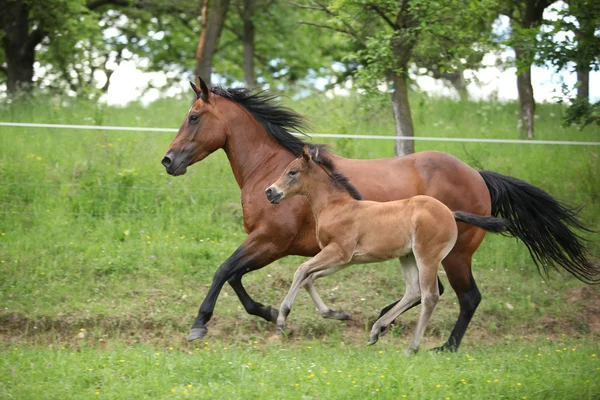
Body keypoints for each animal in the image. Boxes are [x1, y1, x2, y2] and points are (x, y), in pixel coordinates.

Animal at [264, 146, 508, 354]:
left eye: (292, 172)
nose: (269, 192)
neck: (337, 206)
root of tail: (450, 212)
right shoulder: (343, 260)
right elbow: (308, 277)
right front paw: (337, 314)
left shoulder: (339, 251)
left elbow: (301, 270)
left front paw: (282, 318)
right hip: (407, 256)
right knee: (414, 291)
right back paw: (376, 330)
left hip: (427, 257)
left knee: (430, 296)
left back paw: (413, 347)